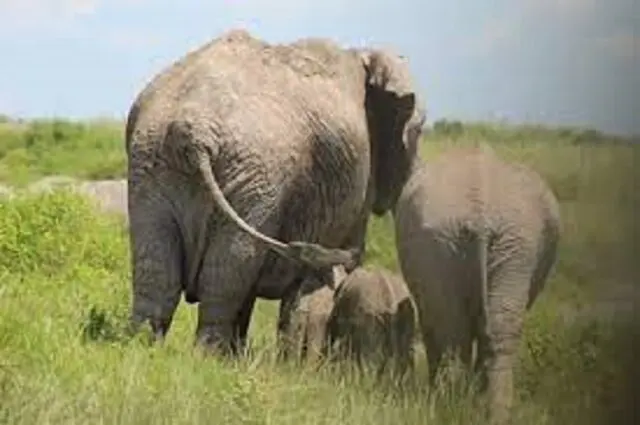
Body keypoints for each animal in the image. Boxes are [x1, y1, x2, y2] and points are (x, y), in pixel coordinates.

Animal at [124, 29, 426, 355]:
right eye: (419, 131)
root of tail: (195, 132)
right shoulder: (361, 180)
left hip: (152, 163)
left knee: (158, 268)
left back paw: (144, 348)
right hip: (258, 174)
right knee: (228, 270)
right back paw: (208, 356)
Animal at [393, 145, 562, 423]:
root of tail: (481, 210)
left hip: (507, 243)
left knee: (466, 329)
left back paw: (459, 407)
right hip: (497, 244)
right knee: (475, 329)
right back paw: (472, 410)